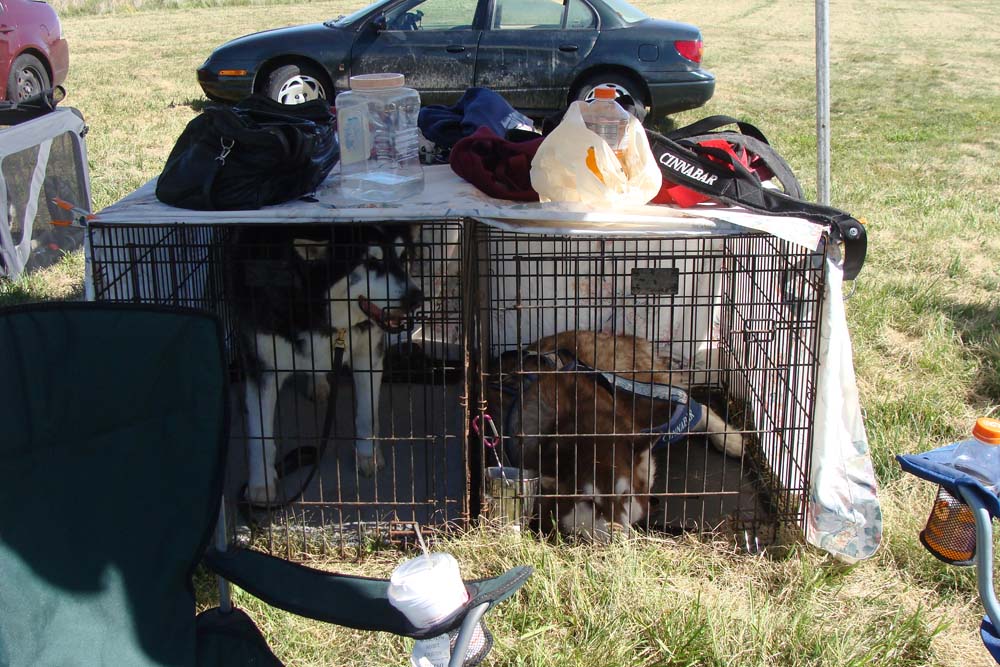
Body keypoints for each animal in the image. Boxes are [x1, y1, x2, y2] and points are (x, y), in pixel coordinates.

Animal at [229, 224, 424, 506]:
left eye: (403, 258)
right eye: (371, 262)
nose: (417, 297)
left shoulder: (368, 353)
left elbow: (366, 415)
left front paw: (368, 455)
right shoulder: (262, 364)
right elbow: (259, 434)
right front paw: (261, 484)